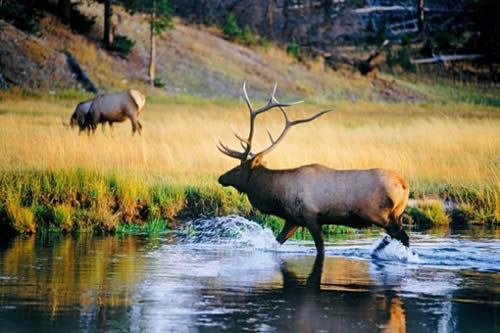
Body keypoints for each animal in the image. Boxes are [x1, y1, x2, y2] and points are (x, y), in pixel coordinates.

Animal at [218, 83, 410, 254]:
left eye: (238, 168)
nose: (221, 178)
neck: (279, 196)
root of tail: (404, 185)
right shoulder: (294, 219)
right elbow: (278, 241)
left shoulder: (311, 216)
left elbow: (321, 248)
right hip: (397, 215)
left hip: (382, 215)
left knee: (404, 237)